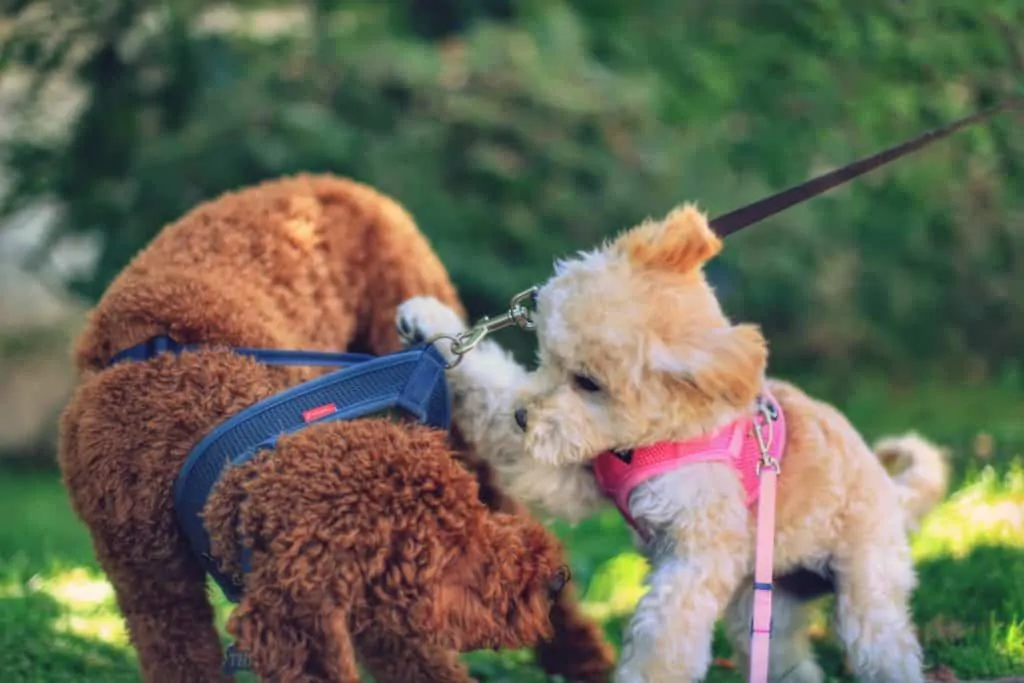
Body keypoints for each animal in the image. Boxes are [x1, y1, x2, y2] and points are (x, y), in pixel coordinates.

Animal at [395, 204, 946, 683]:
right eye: (546, 358)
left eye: (588, 382)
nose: (522, 417)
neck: (654, 438)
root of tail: (888, 489)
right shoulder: (572, 473)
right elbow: (491, 387)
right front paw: (429, 322)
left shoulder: (696, 558)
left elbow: (662, 638)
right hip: (765, 601)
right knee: (787, 658)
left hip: (866, 593)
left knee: (883, 645)